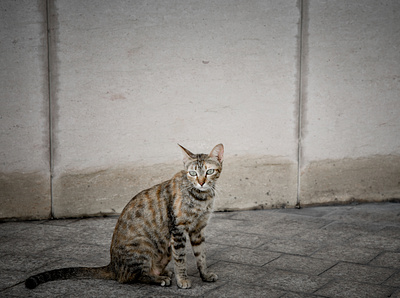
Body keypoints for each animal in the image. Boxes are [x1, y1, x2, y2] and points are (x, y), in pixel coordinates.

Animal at [25, 144, 225, 288]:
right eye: (192, 173)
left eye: (209, 171)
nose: (201, 182)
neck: (201, 198)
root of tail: (113, 265)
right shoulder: (177, 230)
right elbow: (181, 259)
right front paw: (182, 280)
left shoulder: (198, 230)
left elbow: (201, 256)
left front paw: (205, 275)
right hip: (145, 246)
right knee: (131, 277)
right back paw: (159, 279)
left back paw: (162, 273)